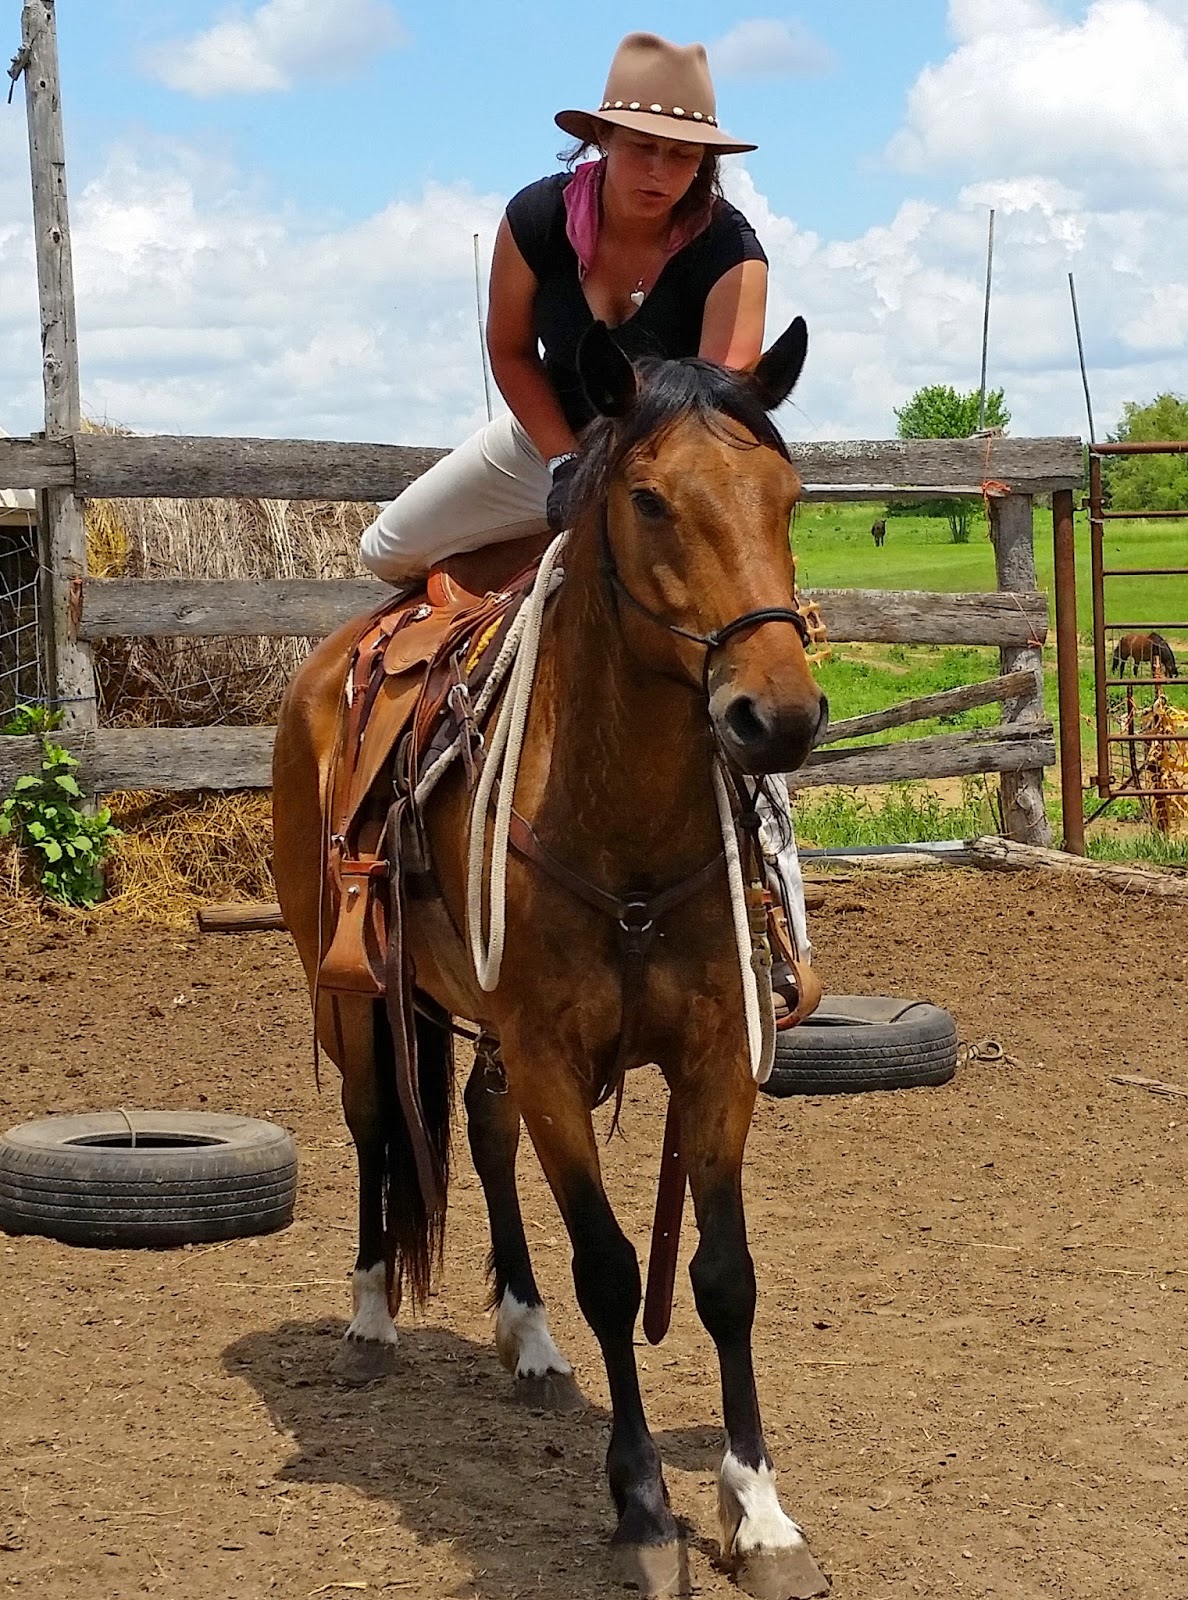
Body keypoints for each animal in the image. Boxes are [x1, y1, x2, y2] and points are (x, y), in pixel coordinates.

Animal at [272, 318, 830, 1598]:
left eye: (788, 497)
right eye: (651, 499)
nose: (775, 716)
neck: (619, 821)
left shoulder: (715, 1056)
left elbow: (723, 1276)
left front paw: (757, 1507)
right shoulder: (551, 1057)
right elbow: (616, 1271)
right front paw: (643, 1509)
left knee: (478, 1130)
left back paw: (524, 1333)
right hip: (354, 997)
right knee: (377, 1129)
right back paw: (370, 1316)